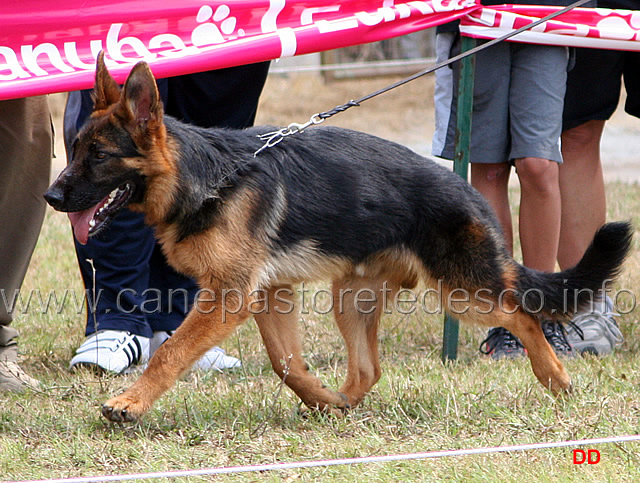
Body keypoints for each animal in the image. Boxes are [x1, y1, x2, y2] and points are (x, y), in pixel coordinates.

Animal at [46, 54, 636, 424]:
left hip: (462, 294)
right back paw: (340, 405)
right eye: (73, 150)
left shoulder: (229, 298)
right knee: (369, 369)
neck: (204, 177)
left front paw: (129, 403)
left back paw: (554, 375)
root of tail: (469, 193)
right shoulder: (269, 295)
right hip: (351, 297)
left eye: (99, 156)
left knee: (522, 312)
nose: (52, 196)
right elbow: (286, 365)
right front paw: (317, 399)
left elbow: (169, 355)